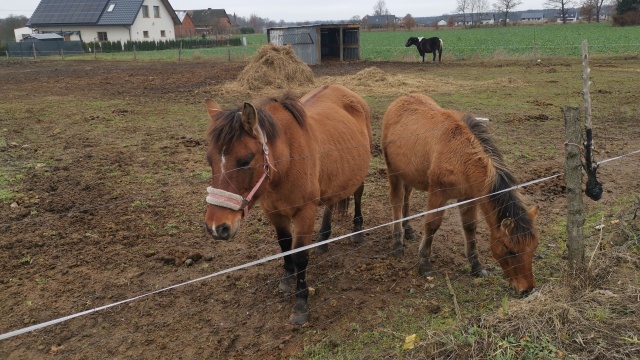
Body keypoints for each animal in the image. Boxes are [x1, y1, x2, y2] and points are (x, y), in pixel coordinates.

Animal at [202, 83, 372, 324]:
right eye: (210, 159)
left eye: (246, 160)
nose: (217, 227)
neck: (287, 162)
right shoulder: (274, 212)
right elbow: (284, 245)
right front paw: (287, 277)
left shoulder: (305, 212)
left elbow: (300, 255)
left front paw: (301, 303)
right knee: (330, 203)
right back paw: (323, 239)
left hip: (358, 175)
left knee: (357, 194)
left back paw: (357, 230)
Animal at [380, 93, 540, 296]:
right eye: (509, 249)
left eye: (533, 247)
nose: (526, 290)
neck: (461, 156)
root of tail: (400, 100)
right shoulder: (438, 194)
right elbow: (432, 225)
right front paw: (424, 263)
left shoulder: (468, 197)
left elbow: (470, 227)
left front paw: (476, 266)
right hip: (393, 171)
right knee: (397, 201)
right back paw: (397, 242)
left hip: (409, 173)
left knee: (406, 197)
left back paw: (408, 230)